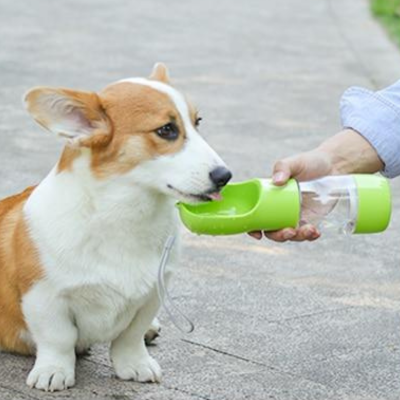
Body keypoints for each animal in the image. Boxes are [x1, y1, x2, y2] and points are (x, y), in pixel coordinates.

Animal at [0, 64, 231, 392]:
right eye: (167, 130)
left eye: (197, 122)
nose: (225, 176)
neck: (126, 216)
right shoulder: (43, 296)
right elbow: (58, 338)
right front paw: (53, 371)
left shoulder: (152, 294)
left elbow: (129, 337)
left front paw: (135, 365)